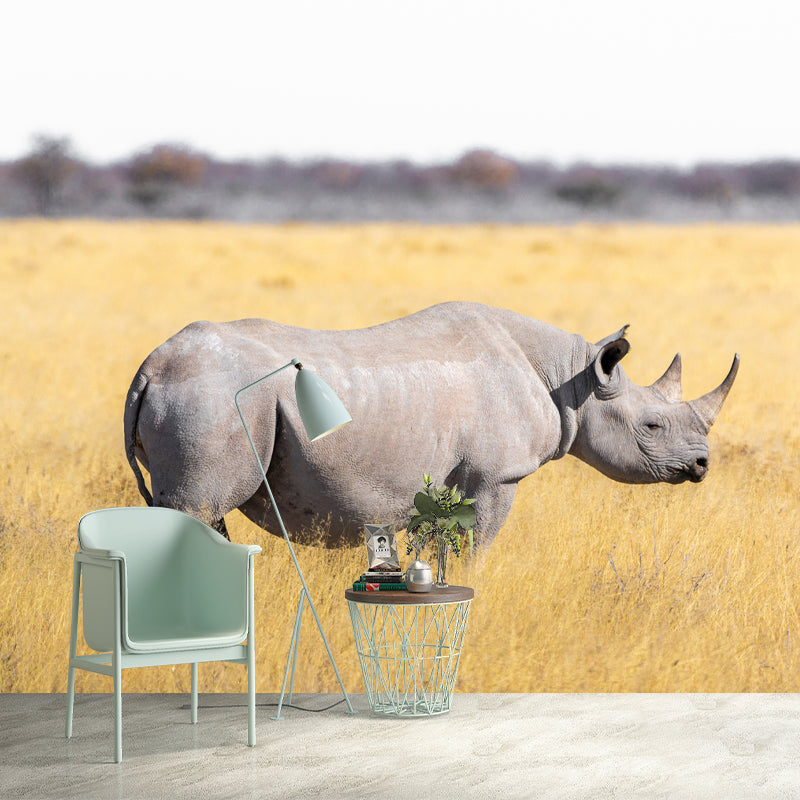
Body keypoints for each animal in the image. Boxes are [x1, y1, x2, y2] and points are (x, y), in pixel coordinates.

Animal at [124, 301, 738, 546]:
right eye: (653, 426)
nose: (702, 465)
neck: (572, 378)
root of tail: (150, 366)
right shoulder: (495, 478)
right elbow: (477, 549)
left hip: (207, 397)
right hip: (212, 399)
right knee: (198, 508)